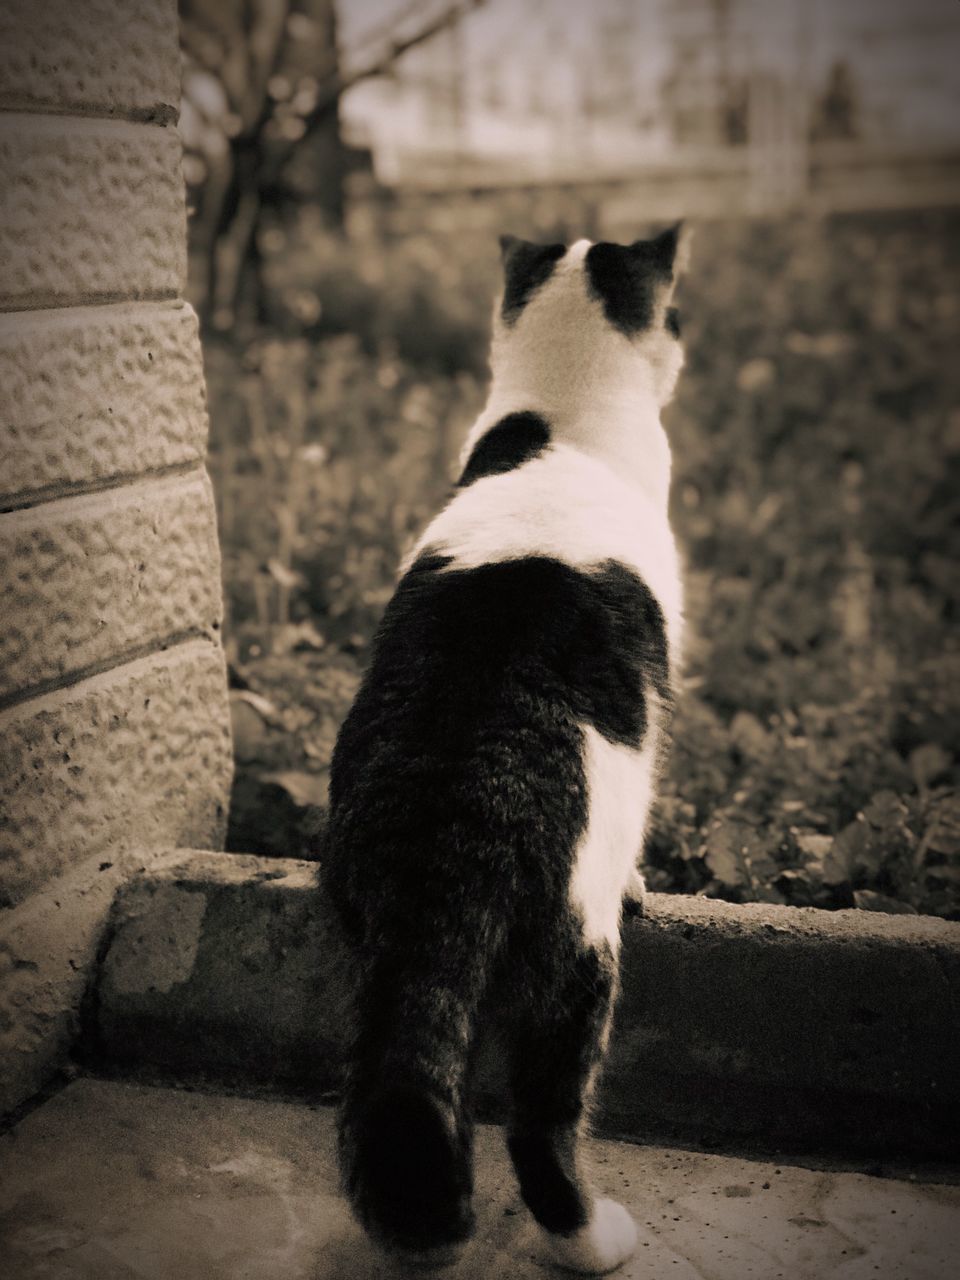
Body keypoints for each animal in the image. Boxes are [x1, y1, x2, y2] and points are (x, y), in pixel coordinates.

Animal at [320, 225, 686, 1274]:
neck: (555, 430)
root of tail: (459, 808)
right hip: (577, 966)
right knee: (540, 1125)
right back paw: (593, 1239)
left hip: (374, 956)